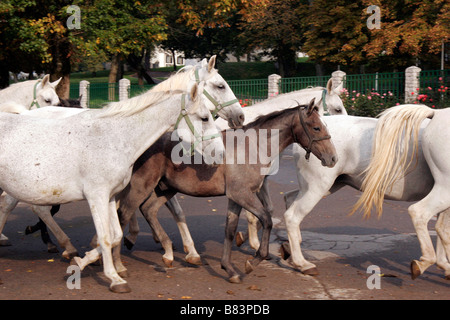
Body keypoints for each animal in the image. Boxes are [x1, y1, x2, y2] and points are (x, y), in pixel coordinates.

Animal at [0, 82, 224, 292]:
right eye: (205, 118)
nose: (221, 153)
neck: (113, 138)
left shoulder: (109, 197)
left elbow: (115, 235)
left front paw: (82, 262)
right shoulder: (96, 196)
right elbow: (106, 237)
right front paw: (115, 278)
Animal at [278, 105, 450, 280]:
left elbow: (442, 228)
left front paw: (445, 266)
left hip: (326, 186)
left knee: (289, 198)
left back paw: (291, 249)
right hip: (317, 187)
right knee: (292, 216)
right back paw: (303, 264)